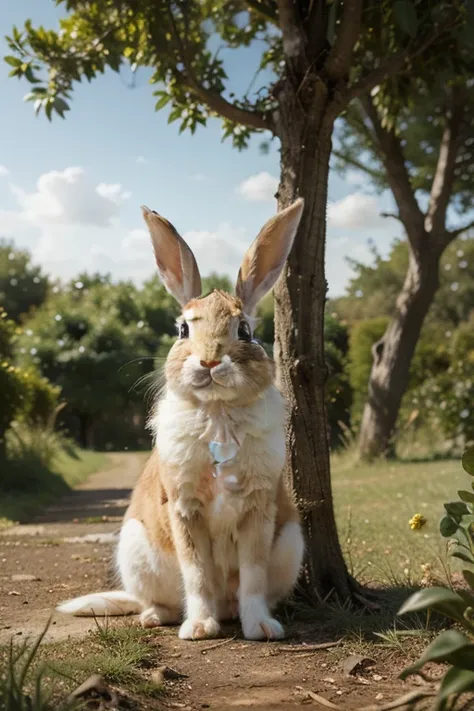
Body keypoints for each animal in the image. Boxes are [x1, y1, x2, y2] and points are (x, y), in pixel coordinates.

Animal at [57, 199, 306, 640]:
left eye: (245, 330)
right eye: (182, 329)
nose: (209, 360)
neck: (217, 411)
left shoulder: (258, 511)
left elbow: (253, 575)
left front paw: (261, 628)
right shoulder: (184, 507)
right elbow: (198, 572)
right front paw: (200, 629)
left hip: (292, 541)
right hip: (136, 546)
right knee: (159, 599)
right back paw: (157, 616)